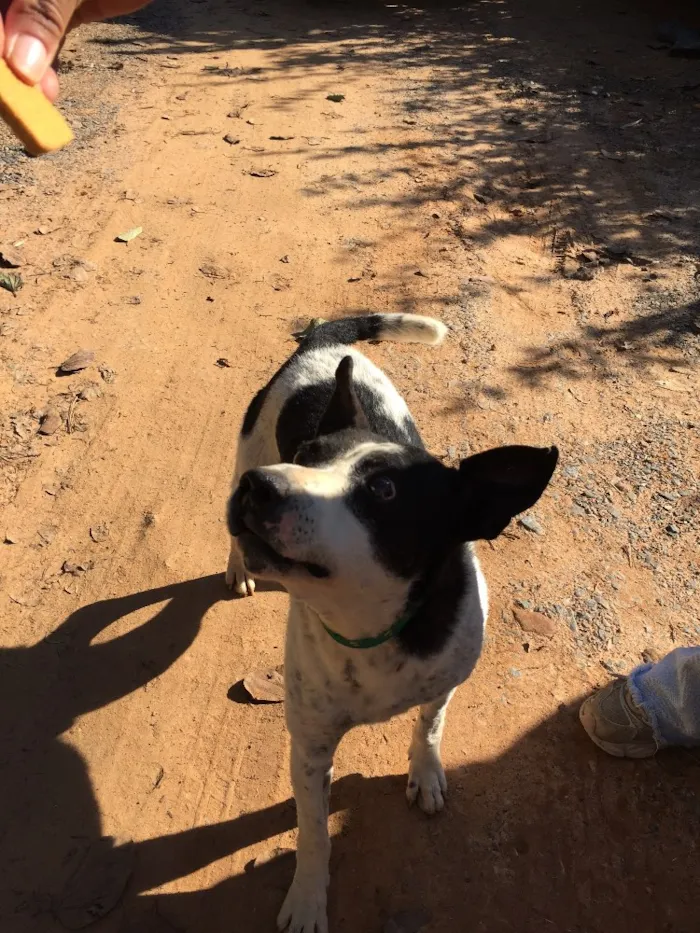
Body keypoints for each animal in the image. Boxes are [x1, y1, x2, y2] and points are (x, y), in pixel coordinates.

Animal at [227, 314, 556, 932]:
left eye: (383, 491)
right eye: (305, 453)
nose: (262, 485)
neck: (372, 630)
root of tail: (325, 340)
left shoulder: (446, 678)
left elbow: (429, 725)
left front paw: (425, 772)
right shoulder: (310, 744)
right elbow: (313, 835)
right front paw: (308, 898)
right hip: (247, 443)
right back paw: (237, 565)